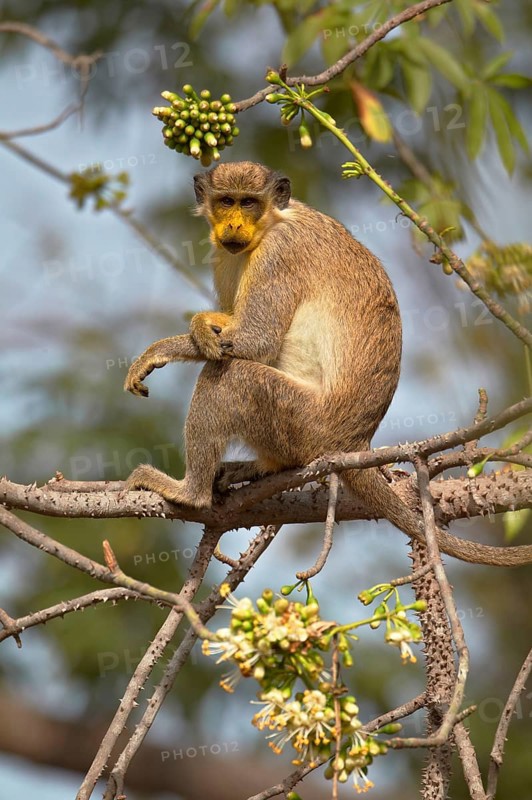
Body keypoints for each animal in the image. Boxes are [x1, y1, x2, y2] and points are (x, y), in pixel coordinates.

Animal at [124, 161, 532, 568]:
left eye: (249, 203)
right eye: (227, 201)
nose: (235, 226)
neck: (273, 221)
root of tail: (354, 440)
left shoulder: (278, 252)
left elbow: (256, 341)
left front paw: (164, 348)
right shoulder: (226, 256)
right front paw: (202, 328)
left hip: (303, 422)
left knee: (229, 375)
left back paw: (192, 493)